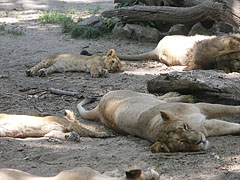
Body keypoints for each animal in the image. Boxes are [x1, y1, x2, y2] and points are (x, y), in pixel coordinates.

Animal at [77, 90, 240, 152]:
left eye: (184, 127)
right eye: (182, 142)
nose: (201, 140)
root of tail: (98, 108)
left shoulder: (201, 107)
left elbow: (229, 108)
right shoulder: (206, 125)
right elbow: (229, 125)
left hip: (142, 96)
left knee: (160, 97)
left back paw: (181, 95)